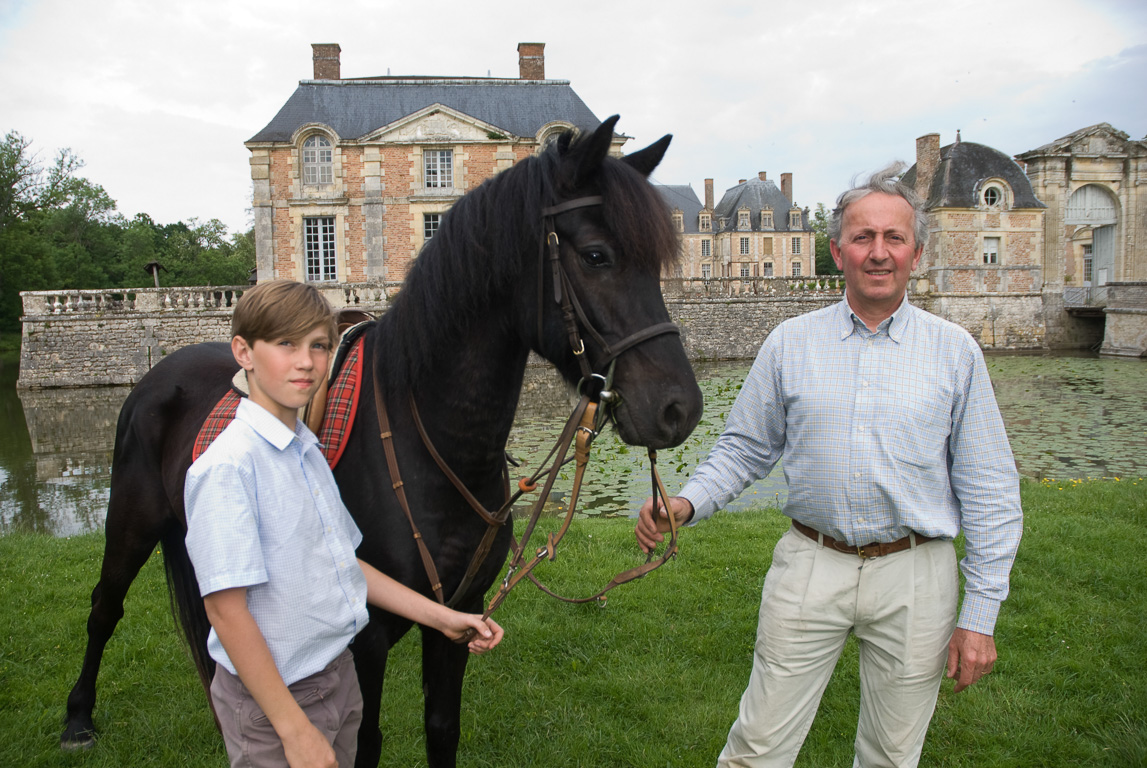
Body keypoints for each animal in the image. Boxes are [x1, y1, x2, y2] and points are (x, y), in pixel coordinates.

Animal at [65, 115, 706, 768]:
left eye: (659, 262)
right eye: (597, 255)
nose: (680, 408)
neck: (439, 447)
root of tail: (160, 369)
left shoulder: (457, 617)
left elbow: (442, 728)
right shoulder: (363, 639)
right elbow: (363, 743)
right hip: (131, 524)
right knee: (104, 607)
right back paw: (78, 718)